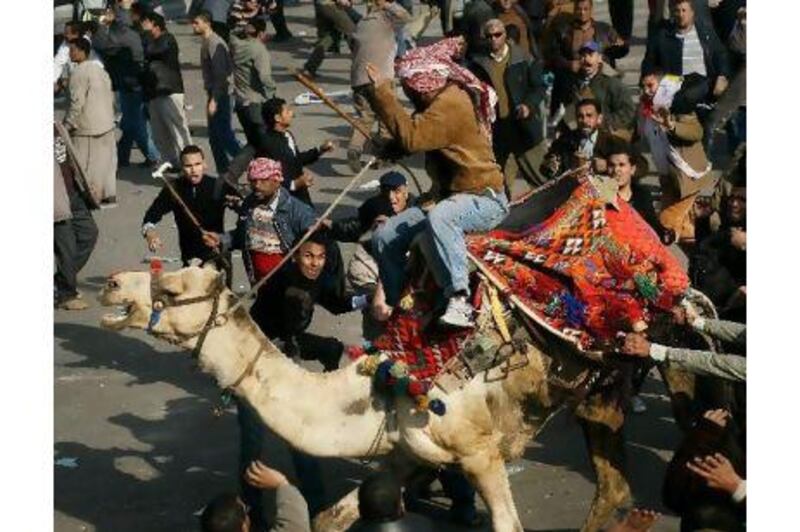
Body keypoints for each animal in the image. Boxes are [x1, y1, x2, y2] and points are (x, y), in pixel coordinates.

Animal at [100, 262, 708, 532]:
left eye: (172, 287)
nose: (110, 284)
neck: (382, 384)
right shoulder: (405, 453)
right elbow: (332, 517)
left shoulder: (479, 451)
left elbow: (507, 525)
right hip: (598, 392)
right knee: (614, 482)